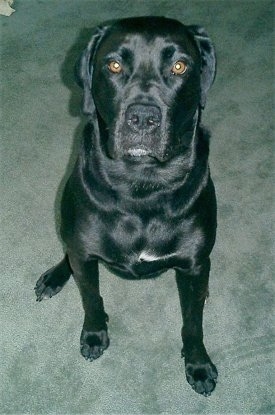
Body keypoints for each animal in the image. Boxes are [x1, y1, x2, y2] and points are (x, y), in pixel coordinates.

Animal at [35, 17, 219, 396]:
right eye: (114, 65)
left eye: (180, 66)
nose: (143, 118)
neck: (141, 187)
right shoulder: (85, 256)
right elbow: (91, 298)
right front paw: (94, 335)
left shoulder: (195, 266)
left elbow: (193, 321)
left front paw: (197, 364)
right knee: (68, 252)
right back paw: (54, 276)